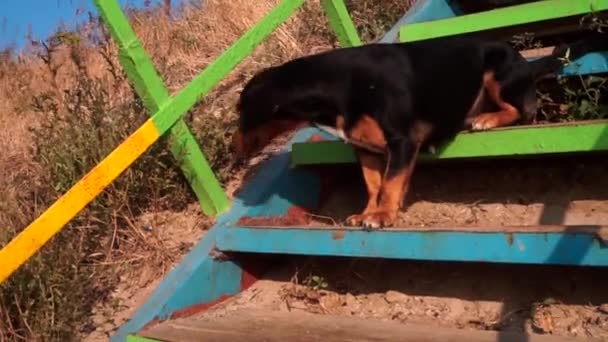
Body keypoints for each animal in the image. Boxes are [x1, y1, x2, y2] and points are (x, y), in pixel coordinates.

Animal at [230, 32, 604, 230]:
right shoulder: (365, 149)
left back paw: (487, 119)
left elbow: (391, 182)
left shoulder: (401, 140)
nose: (233, 151)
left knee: (521, 111)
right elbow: (374, 183)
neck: (335, 87)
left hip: (496, 71)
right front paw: (368, 211)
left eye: (240, 111)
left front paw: (381, 215)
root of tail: (526, 62)